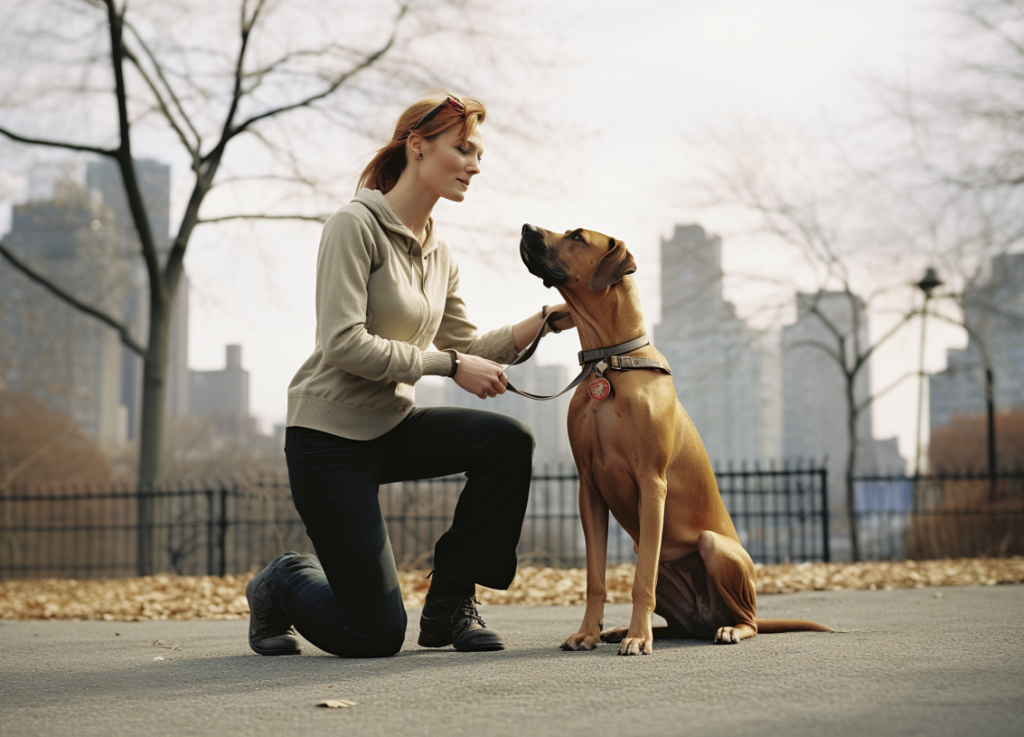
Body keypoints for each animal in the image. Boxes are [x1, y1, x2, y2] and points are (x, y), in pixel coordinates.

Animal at [520, 223, 831, 655]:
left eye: (577, 237)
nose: (525, 228)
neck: (609, 361)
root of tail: (708, 618)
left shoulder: (652, 483)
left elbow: (641, 581)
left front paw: (637, 637)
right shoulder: (589, 489)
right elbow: (596, 578)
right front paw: (588, 633)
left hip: (715, 547)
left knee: (747, 618)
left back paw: (726, 629)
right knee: (678, 624)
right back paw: (619, 630)